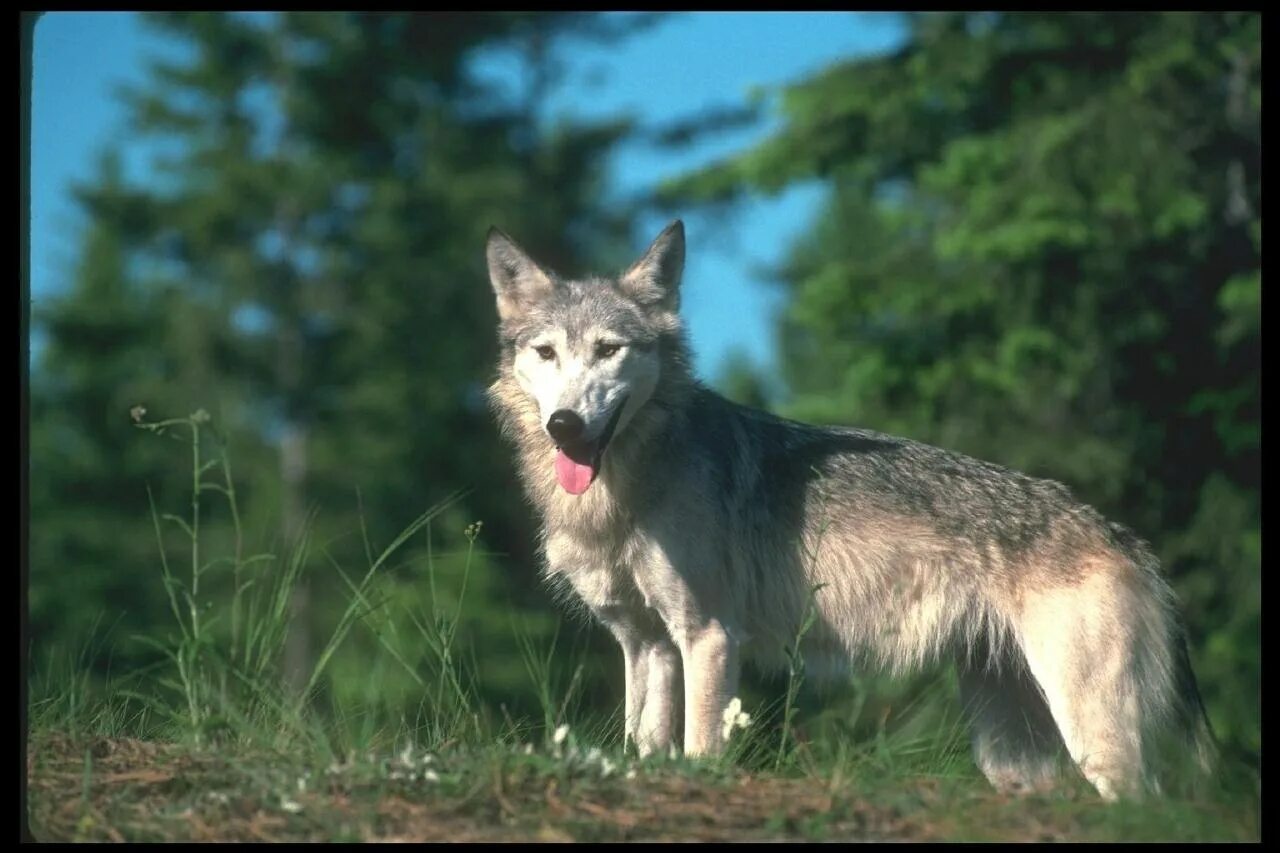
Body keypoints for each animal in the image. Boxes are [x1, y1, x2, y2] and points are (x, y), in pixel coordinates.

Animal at [481, 217, 1218, 799]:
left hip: (1092, 737)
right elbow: (643, 745)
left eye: (609, 350)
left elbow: (699, 750)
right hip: (1012, 757)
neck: (632, 486)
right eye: (546, 353)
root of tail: (1121, 535)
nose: (565, 425)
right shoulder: (646, 644)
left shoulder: (710, 636)